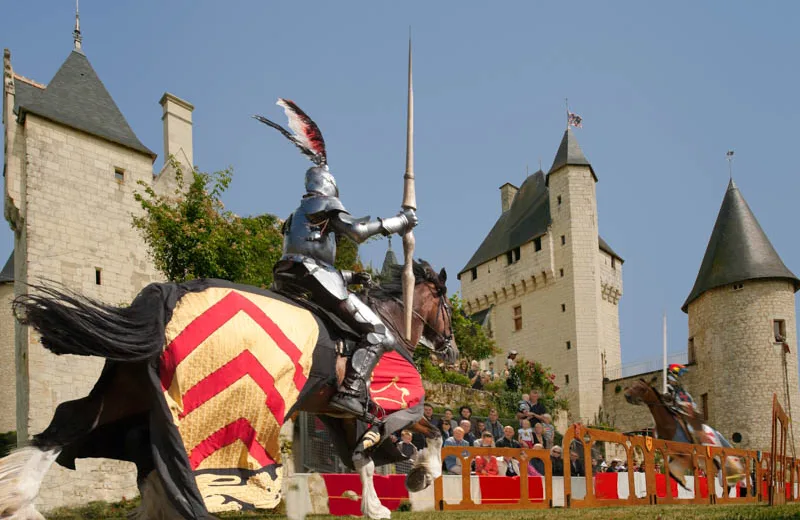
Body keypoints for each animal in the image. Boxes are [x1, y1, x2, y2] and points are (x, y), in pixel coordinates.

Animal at [0, 262, 454, 516]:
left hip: (130, 391)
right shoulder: (388, 407)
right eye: (447, 306)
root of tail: (165, 296)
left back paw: (18, 502)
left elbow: (362, 459)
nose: (450, 349)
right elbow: (432, 432)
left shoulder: (339, 412)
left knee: (71, 422)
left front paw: (380, 504)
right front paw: (420, 476)